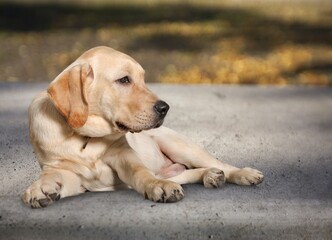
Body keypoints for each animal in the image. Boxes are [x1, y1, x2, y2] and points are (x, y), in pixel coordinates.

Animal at [22, 47, 264, 208]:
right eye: (124, 80)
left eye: (143, 79)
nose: (165, 108)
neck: (84, 137)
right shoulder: (67, 173)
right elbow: (51, 177)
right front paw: (39, 188)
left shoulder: (124, 156)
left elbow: (141, 173)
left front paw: (156, 185)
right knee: (186, 174)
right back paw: (210, 176)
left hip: (180, 145)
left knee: (219, 164)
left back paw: (242, 173)